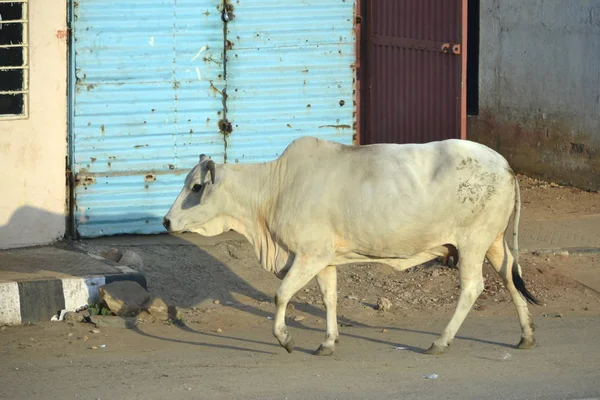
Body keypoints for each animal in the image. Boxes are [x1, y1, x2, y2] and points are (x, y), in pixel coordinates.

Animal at [163, 138, 540, 356]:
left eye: (196, 187)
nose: (166, 221)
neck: (274, 189)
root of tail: (505, 165)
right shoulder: (324, 259)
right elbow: (329, 298)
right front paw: (328, 342)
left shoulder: (309, 255)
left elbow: (281, 296)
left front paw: (285, 339)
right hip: (492, 242)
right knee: (510, 277)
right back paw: (526, 335)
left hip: (473, 243)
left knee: (473, 288)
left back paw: (440, 342)